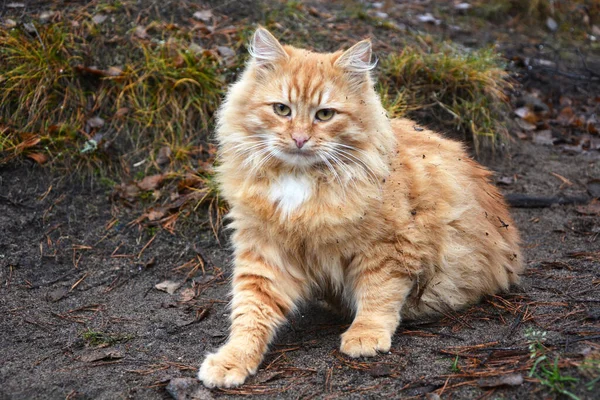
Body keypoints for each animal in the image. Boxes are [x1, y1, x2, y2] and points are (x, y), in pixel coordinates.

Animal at [197, 27, 520, 388]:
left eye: (324, 115)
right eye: (282, 110)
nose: (299, 139)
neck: (301, 180)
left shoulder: (389, 247)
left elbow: (378, 294)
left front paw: (365, 335)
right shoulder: (265, 251)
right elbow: (251, 312)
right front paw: (233, 359)